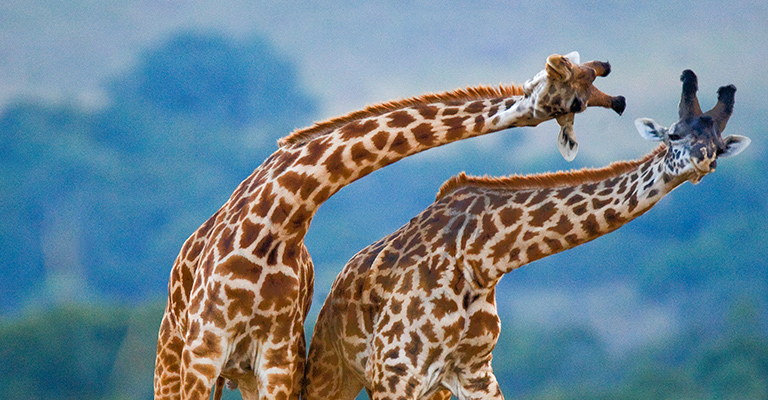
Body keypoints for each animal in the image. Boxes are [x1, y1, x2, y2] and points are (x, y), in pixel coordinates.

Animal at [153, 51, 628, 398]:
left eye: (596, 81)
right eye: (577, 96)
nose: (619, 103)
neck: (281, 217)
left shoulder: (276, 358)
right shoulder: (204, 351)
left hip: (246, 374)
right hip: (173, 360)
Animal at [304, 70, 752, 400]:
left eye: (717, 146)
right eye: (674, 135)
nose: (702, 161)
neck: (485, 256)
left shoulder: (473, 370)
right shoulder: (397, 371)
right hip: (336, 369)